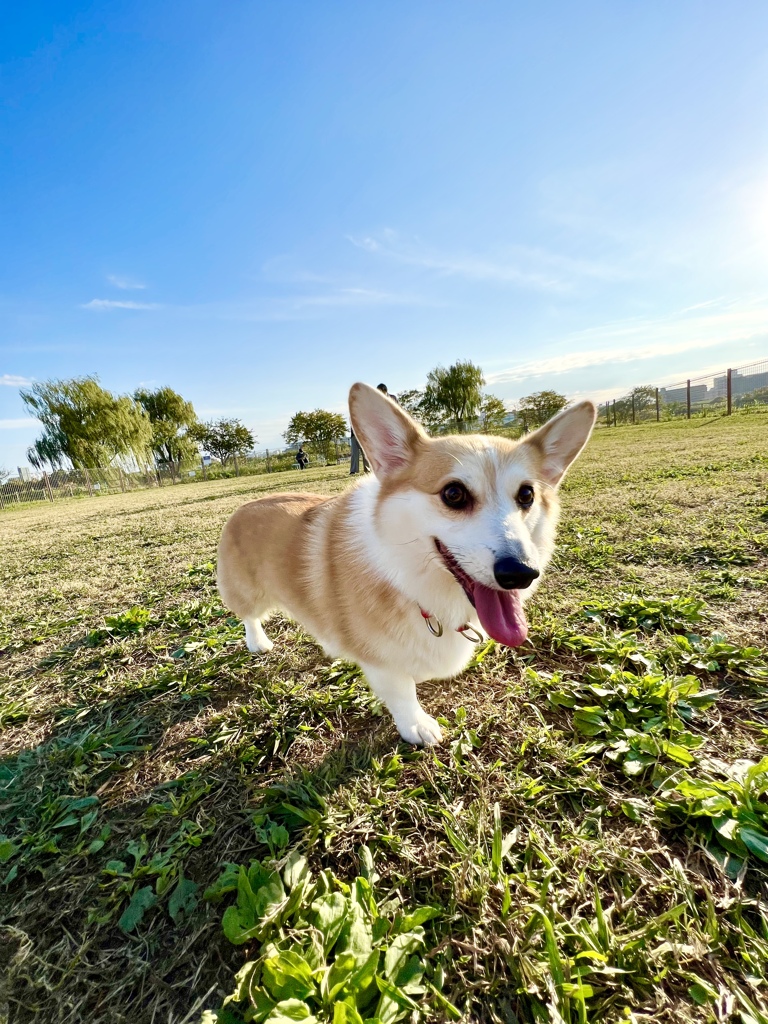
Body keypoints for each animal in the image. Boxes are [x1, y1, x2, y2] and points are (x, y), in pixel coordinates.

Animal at [217, 385, 593, 745]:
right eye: (453, 494)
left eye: (527, 495)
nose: (521, 574)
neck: (404, 574)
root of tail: (241, 508)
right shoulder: (381, 661)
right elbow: (402, 693)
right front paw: (418, 727)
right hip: (248, 594)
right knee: (248, 616)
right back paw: (258, 642)